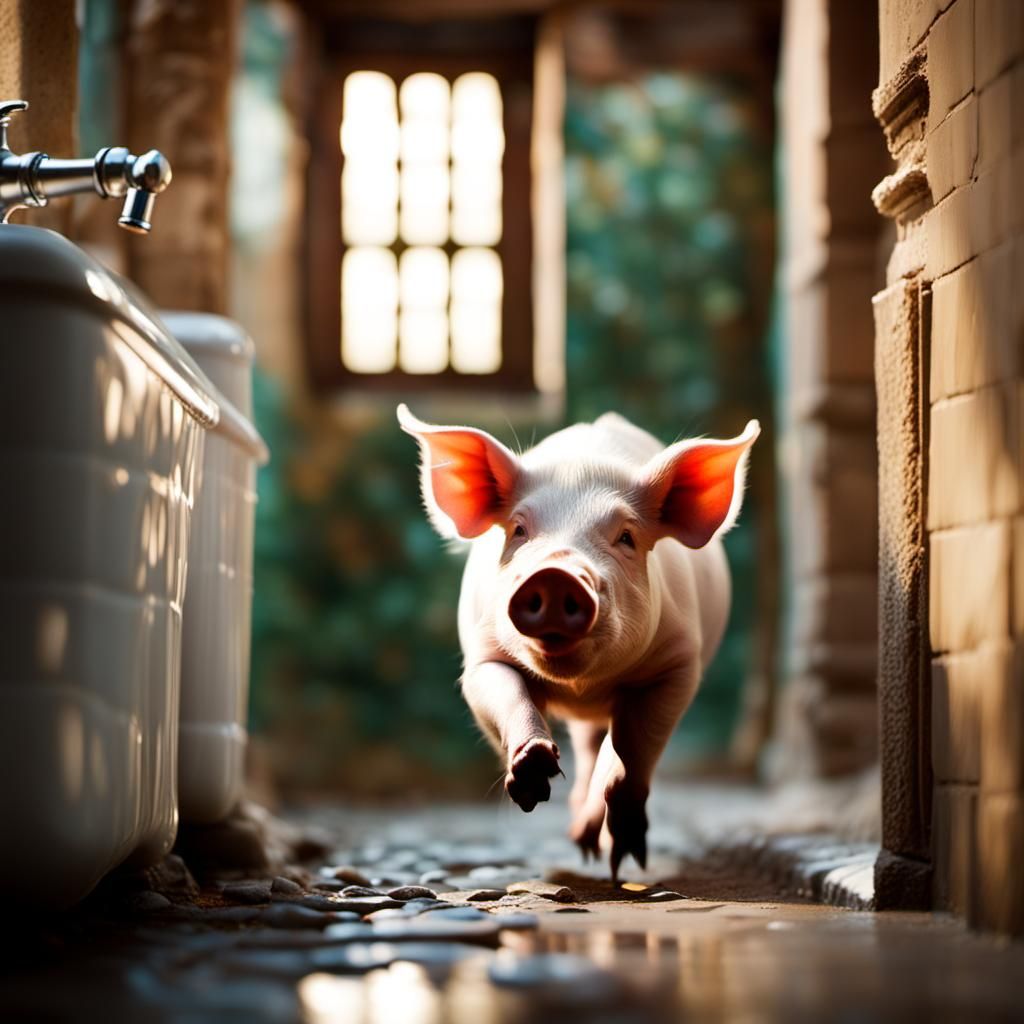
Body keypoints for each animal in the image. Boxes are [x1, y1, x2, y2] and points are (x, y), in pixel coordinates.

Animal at [397, 404, 759, 879]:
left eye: (626, 536)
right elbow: (509, 696)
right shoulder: (481, 658)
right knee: (589, 749)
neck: (580, 685)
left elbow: (635, 748)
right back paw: (581, 840)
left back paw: (599, 848)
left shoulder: (678, 666)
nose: (555, 574)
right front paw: (532, 780)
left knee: (605, 750)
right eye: (518, 530)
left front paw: (627, 856)